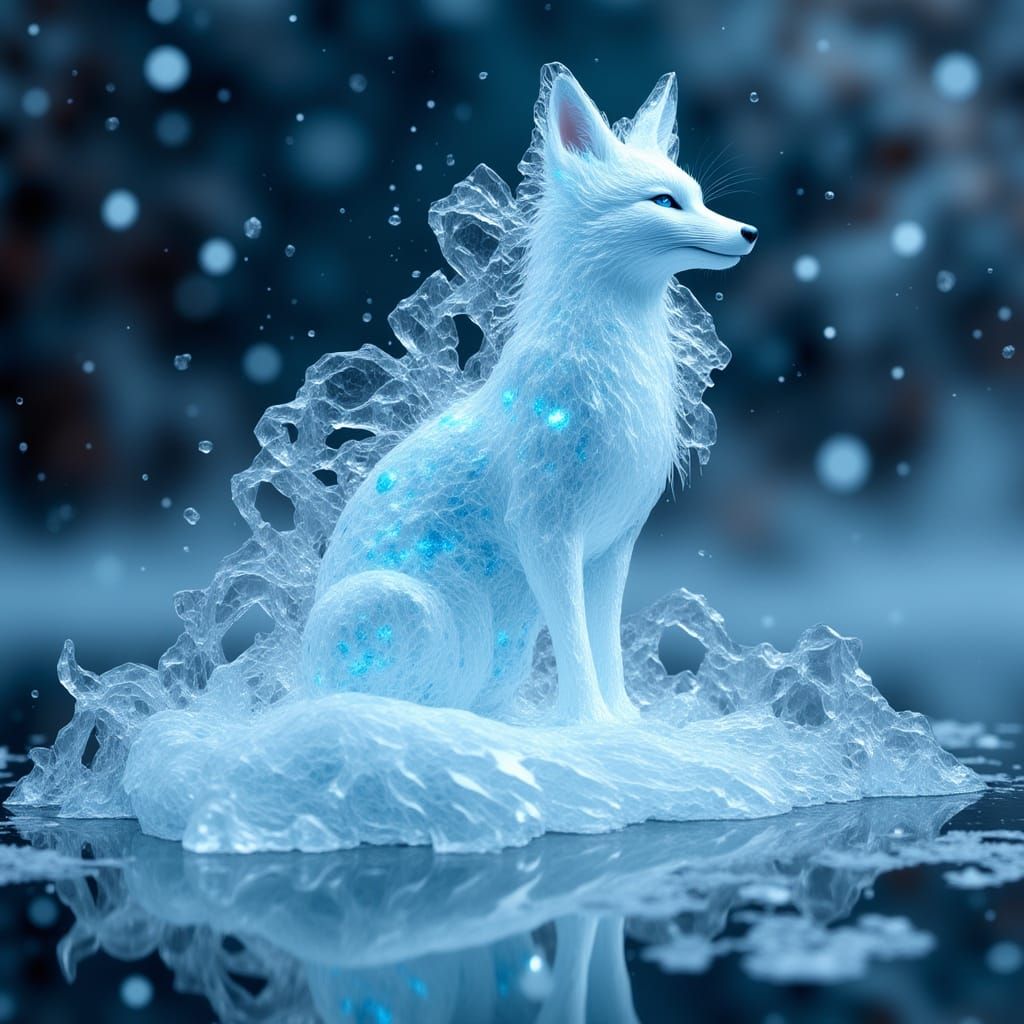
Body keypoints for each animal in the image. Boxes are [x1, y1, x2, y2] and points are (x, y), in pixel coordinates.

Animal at [301, 66, 757, 724]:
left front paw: (627, 726)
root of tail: (299, 676)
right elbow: (575, 644)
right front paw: (588, 726)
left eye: (696, 196)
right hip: (410, 609)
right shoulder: (547, 531)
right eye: (663, 201)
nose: (749, 232)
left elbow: (605, 645)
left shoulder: (613, 545)